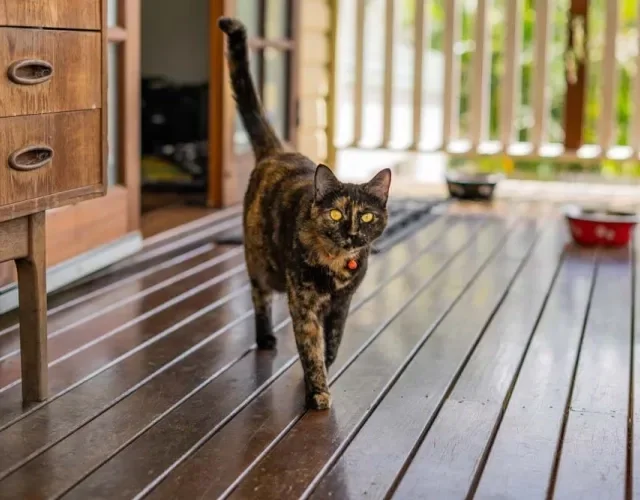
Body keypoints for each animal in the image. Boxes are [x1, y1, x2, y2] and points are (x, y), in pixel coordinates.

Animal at [219, 16, 390, 410]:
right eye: (337, 215)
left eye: (367, 216)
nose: (351, 233)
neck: (337, 265)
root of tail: (277, 151)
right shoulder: (304, 303)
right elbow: (309, 347)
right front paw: (318, 392)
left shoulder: (342, 304)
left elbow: (333, 341)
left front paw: (326, 365)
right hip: (263, 265)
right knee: (259, 296)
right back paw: (266, 338)